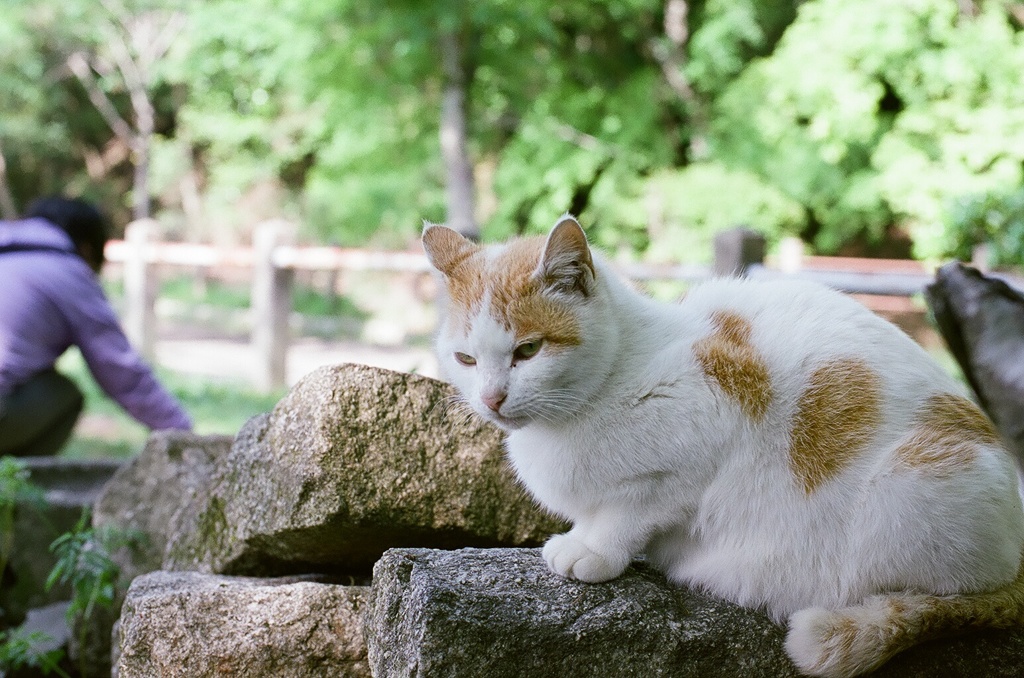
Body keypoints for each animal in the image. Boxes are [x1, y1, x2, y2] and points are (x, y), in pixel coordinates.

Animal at [421, 218, 1024, 678]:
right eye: (465, 359)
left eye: (527, 350)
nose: (492, 399)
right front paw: (579, 536)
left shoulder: (703, 438)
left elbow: (627, 511)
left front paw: (594, 550)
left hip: (910, 486)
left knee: (947, 596)